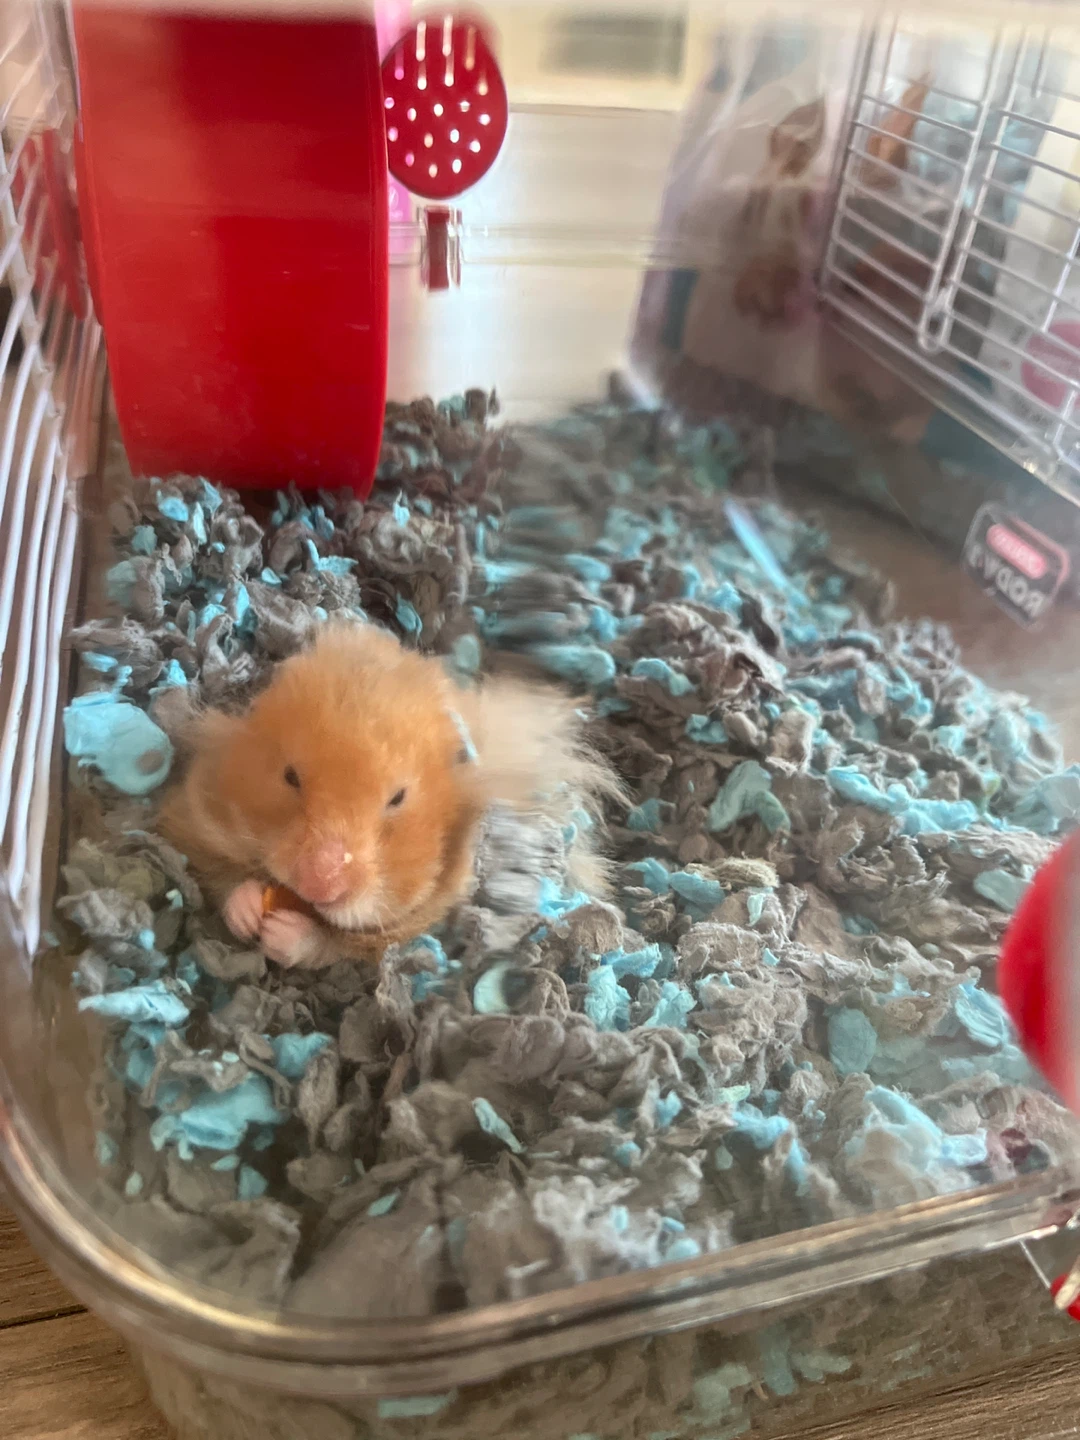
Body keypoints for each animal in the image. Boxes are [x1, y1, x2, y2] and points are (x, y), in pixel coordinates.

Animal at [159, 622, 621, 970]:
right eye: (290, 777)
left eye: (397, 799)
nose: (318, 887)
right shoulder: (195, 814)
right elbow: (221, 877)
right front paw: (249, 910)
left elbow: (341, 946)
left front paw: (282, 932)